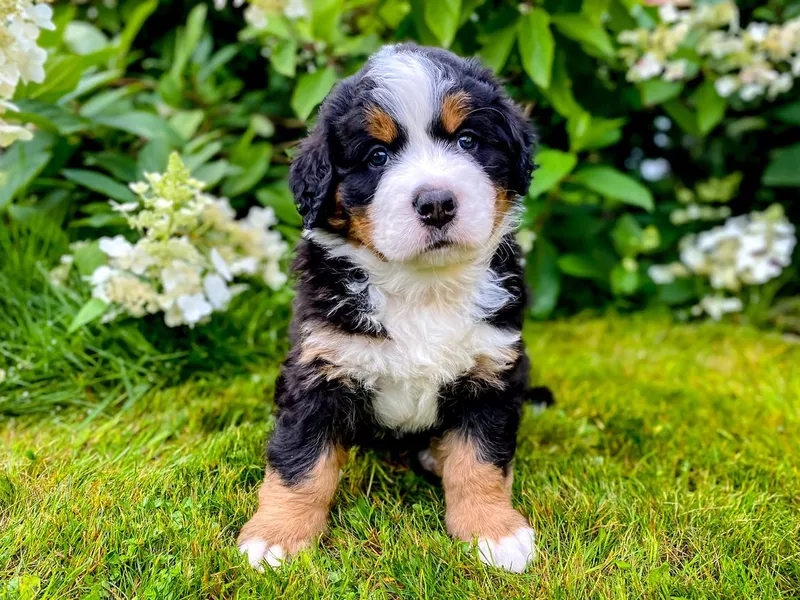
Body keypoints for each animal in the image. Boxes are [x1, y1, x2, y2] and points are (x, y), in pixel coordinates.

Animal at [239, 41, 552, 572]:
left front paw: (493, 532)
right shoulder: (318, 369)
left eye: (467, 140)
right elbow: (300, 463)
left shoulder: (491, 370)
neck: (422, 287)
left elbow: (481, 460)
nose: (436, 202)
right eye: (378, 155)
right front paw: (275, 538)